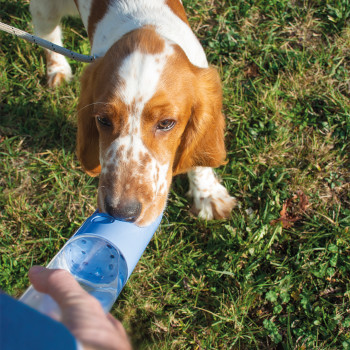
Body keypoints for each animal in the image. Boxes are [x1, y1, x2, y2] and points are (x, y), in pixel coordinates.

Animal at [31, 0, 237, 226]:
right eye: (102, 119)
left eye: (166, 123)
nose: (121, 212)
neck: (146, 23)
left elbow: (199, 158)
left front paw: (208, 196)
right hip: (45, 10)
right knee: (47, 36)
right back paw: (57, 70)